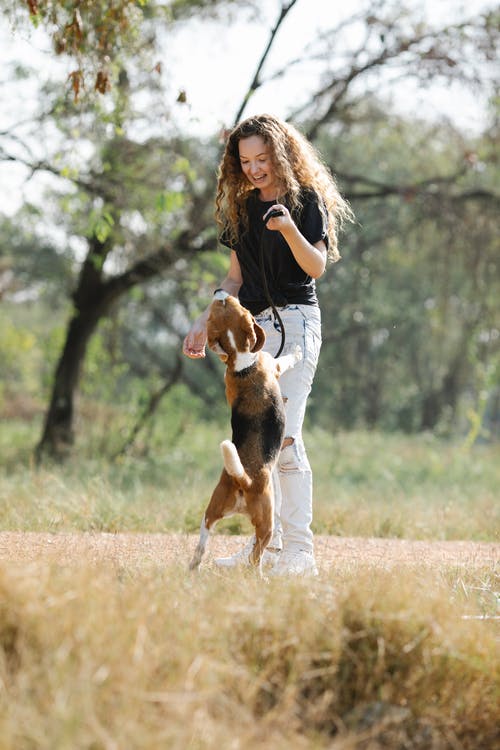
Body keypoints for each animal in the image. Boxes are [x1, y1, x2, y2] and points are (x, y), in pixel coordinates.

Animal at [190, 290, 300, 572]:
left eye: (222, 304)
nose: (218, 291)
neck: (241, 363)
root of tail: (244, 480)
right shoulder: (274, 365)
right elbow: (286, 359)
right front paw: (296, 350)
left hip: (211, 511)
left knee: (202, 543)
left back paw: (194, 566)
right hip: (266, 525)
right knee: (255, 557)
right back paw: (260, 576)